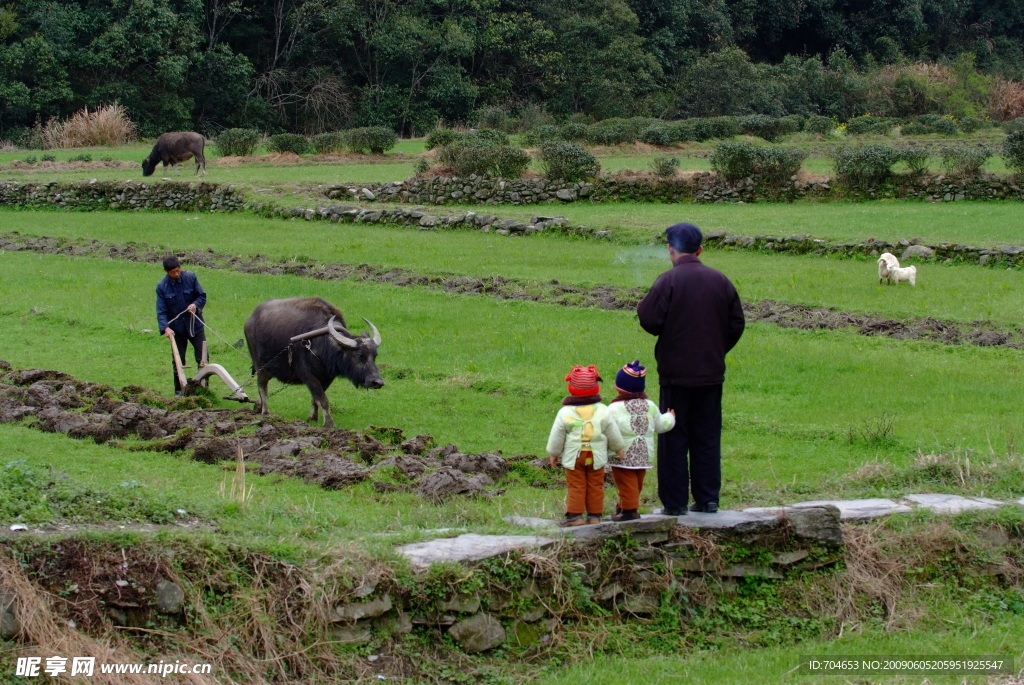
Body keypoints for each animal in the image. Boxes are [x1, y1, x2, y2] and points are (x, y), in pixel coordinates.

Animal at [243, 294, 385, 427]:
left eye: (375, 355)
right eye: (360, 355)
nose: (377, 382)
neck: (322, 345)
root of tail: (249, 321)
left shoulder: (327, 377)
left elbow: (315, 398)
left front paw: (313, 418)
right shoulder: (308, 375)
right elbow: (322, 399)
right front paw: (329, 423)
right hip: (261, 365)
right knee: (262, 386)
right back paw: (266, 412)